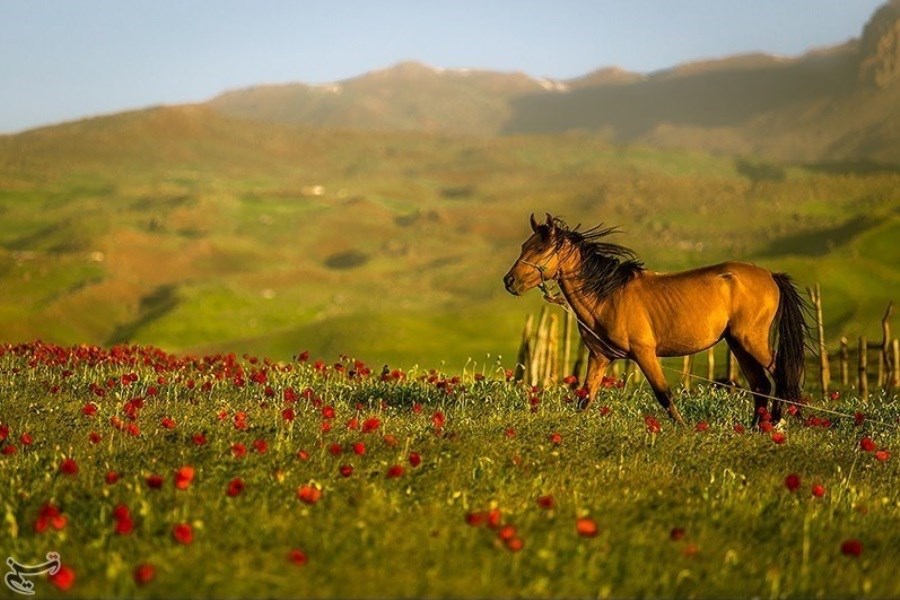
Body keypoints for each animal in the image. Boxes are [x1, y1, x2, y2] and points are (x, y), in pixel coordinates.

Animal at [500, 213, 808, 424]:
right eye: (524, 245)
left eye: (540, 249)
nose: (509, 281)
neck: (607, 296)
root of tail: (771, 276)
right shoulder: (600, 357)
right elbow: (585, 397)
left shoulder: (644, 353)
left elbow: (664, 394)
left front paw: (684, 430)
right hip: (737, 344)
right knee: (760, 385)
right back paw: (757, 429)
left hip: (751, 340)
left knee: (780, 374)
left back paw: (776, 424)